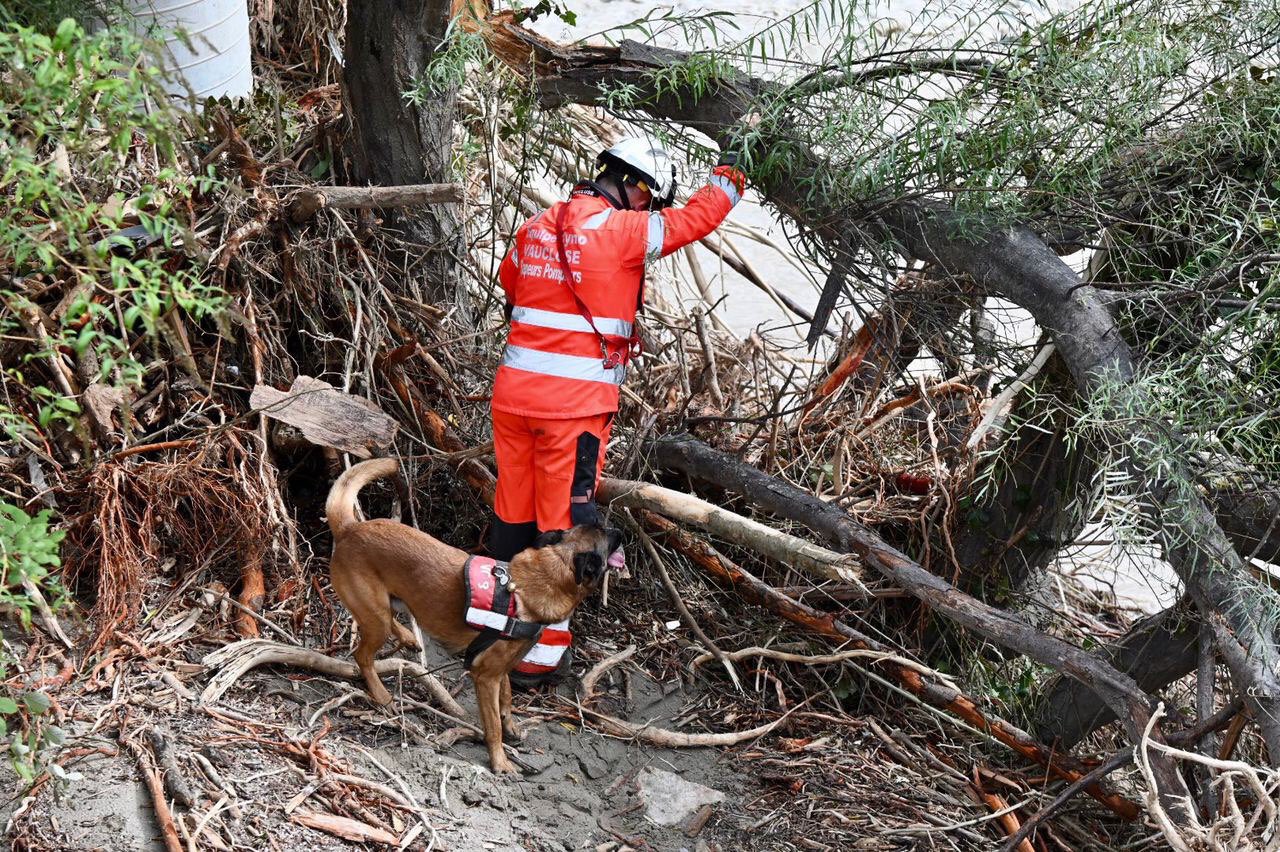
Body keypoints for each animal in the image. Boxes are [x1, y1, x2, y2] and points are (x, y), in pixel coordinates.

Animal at [327, 457, 622, 767]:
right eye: (605, 534)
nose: (621, 531)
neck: (545, 574)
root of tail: (348, 529)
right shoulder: (485, 676)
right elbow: (492, 724)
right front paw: (500, 761)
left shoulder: (500, 669)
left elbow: (507, 696)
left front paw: (510, 724)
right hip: (375, 620)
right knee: (362, 657)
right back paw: (382, 694)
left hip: (385, 608)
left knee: (391, 621)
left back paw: (408, 636)